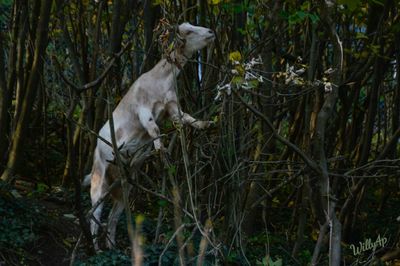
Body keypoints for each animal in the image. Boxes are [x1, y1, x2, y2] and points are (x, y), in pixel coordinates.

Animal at [85, 22, 216, 249]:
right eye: (189, 31)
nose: (210, 32)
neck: (161, 80)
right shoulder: (144, 109)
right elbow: (153, 129)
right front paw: (160, 149)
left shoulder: (172, 108)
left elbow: (188, 119)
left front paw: (205, 124)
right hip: (99, 176)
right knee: (94, 213)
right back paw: (97, 249)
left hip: (124, 185)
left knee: (113, 216)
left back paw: (111, 246)